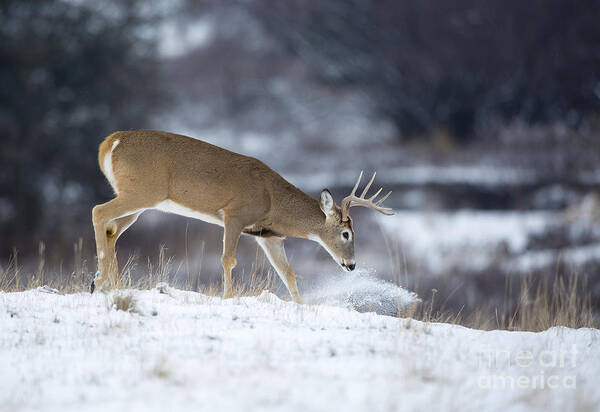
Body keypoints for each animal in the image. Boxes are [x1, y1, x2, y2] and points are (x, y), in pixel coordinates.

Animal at [90, 130, 394, 304]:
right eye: (346, 233)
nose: (351, 265)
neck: (273, 201)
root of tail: (110, 142)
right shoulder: (234, 214)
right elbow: (228, 259)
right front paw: (228, 297)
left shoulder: (270, 237)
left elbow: (287, 272)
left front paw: (300, 306)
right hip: (141, 191)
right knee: (98, 212)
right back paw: (98, 282)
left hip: (139, 202)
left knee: (111, 231)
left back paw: (114, 286)